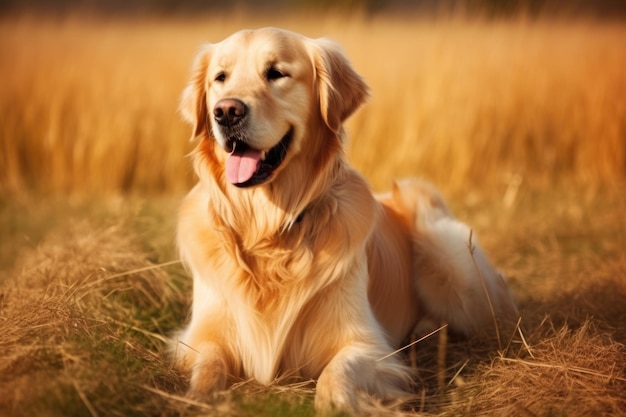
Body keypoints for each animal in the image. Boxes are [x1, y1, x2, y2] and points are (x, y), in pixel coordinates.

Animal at [172, 26, 516, 412]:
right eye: (221, 77)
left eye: (276, 73)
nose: (226, 112)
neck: (270, 230)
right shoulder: (199, 336)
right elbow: (208, 365)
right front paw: (197, 398)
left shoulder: (369, 347)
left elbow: (335, 376)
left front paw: (338, 404)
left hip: (452, 266)